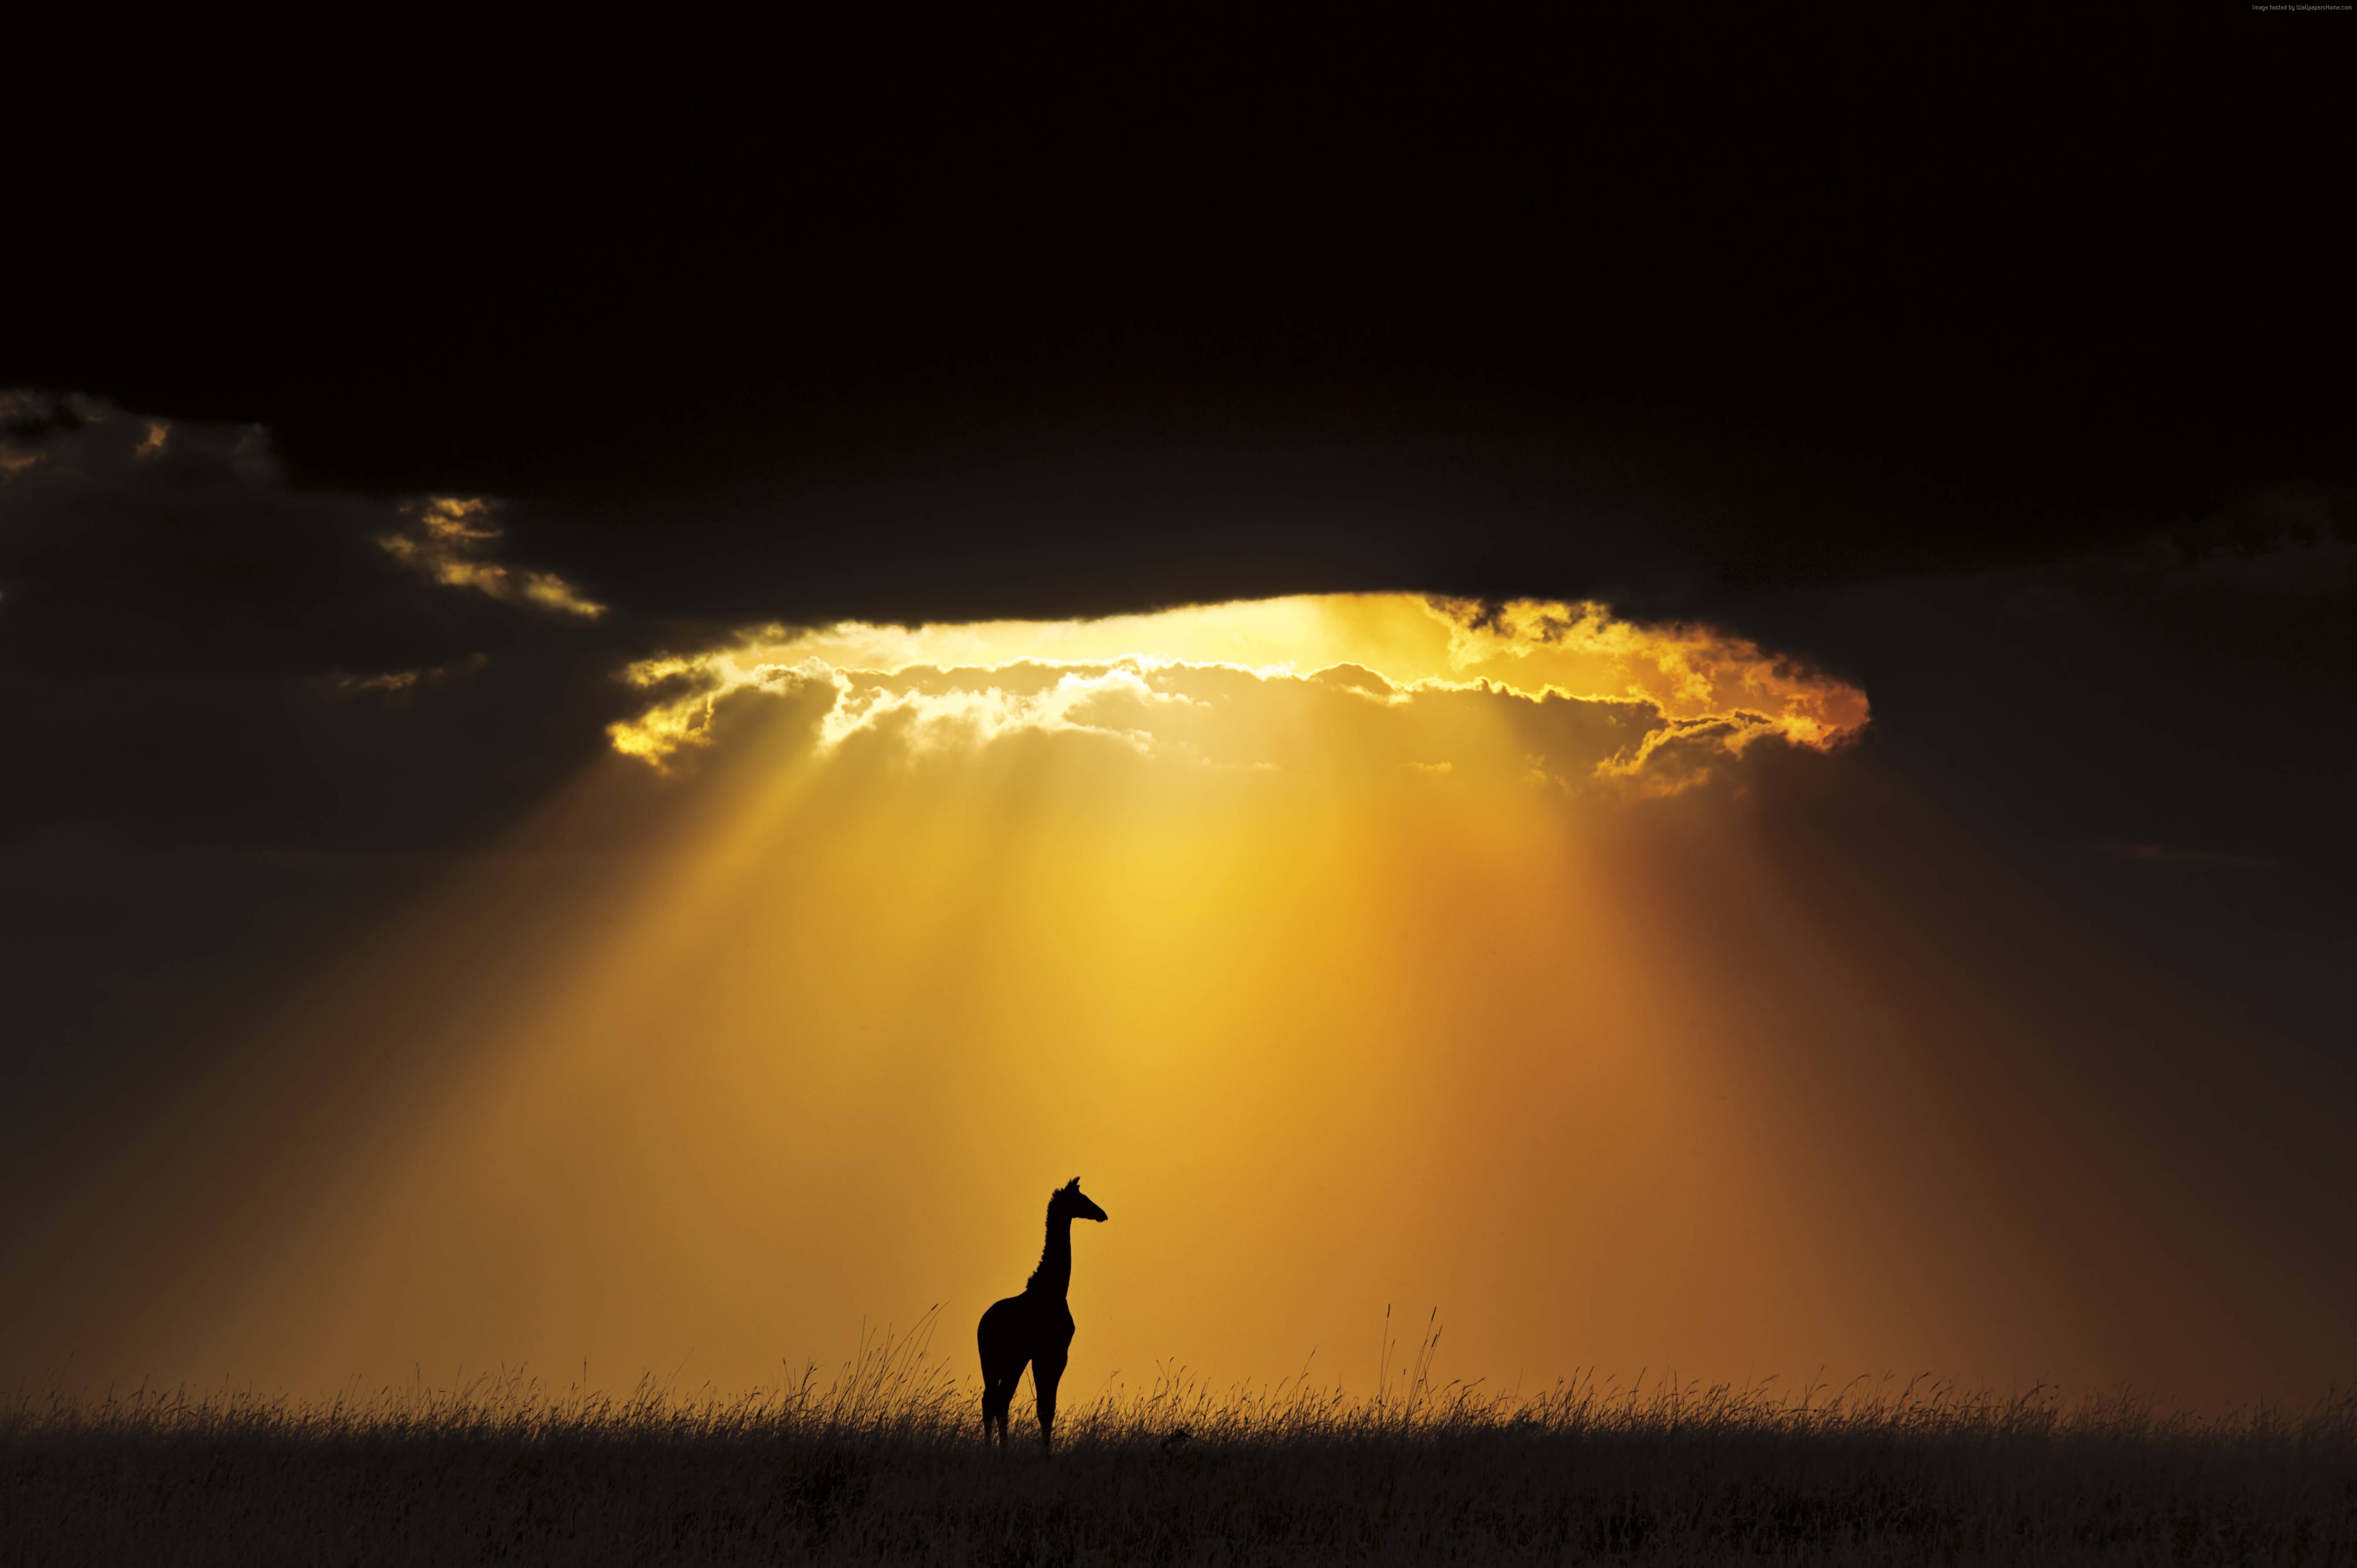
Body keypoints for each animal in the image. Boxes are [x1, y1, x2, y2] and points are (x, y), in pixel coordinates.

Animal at [977, 1178, 1107, 1455]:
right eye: (1082, 1198)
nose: (1102, 1214)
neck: (1055, 1288)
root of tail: (983, 1326)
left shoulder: (1041, 1355)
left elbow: (1046, 1408)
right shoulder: (1055, 1353)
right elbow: (1046, 1409)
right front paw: (1047, 1456)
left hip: (992, 1360)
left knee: (991, 1399)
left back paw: (992, 1449)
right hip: (1011, 1358)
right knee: (999, 1399)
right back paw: (1001, 1451)